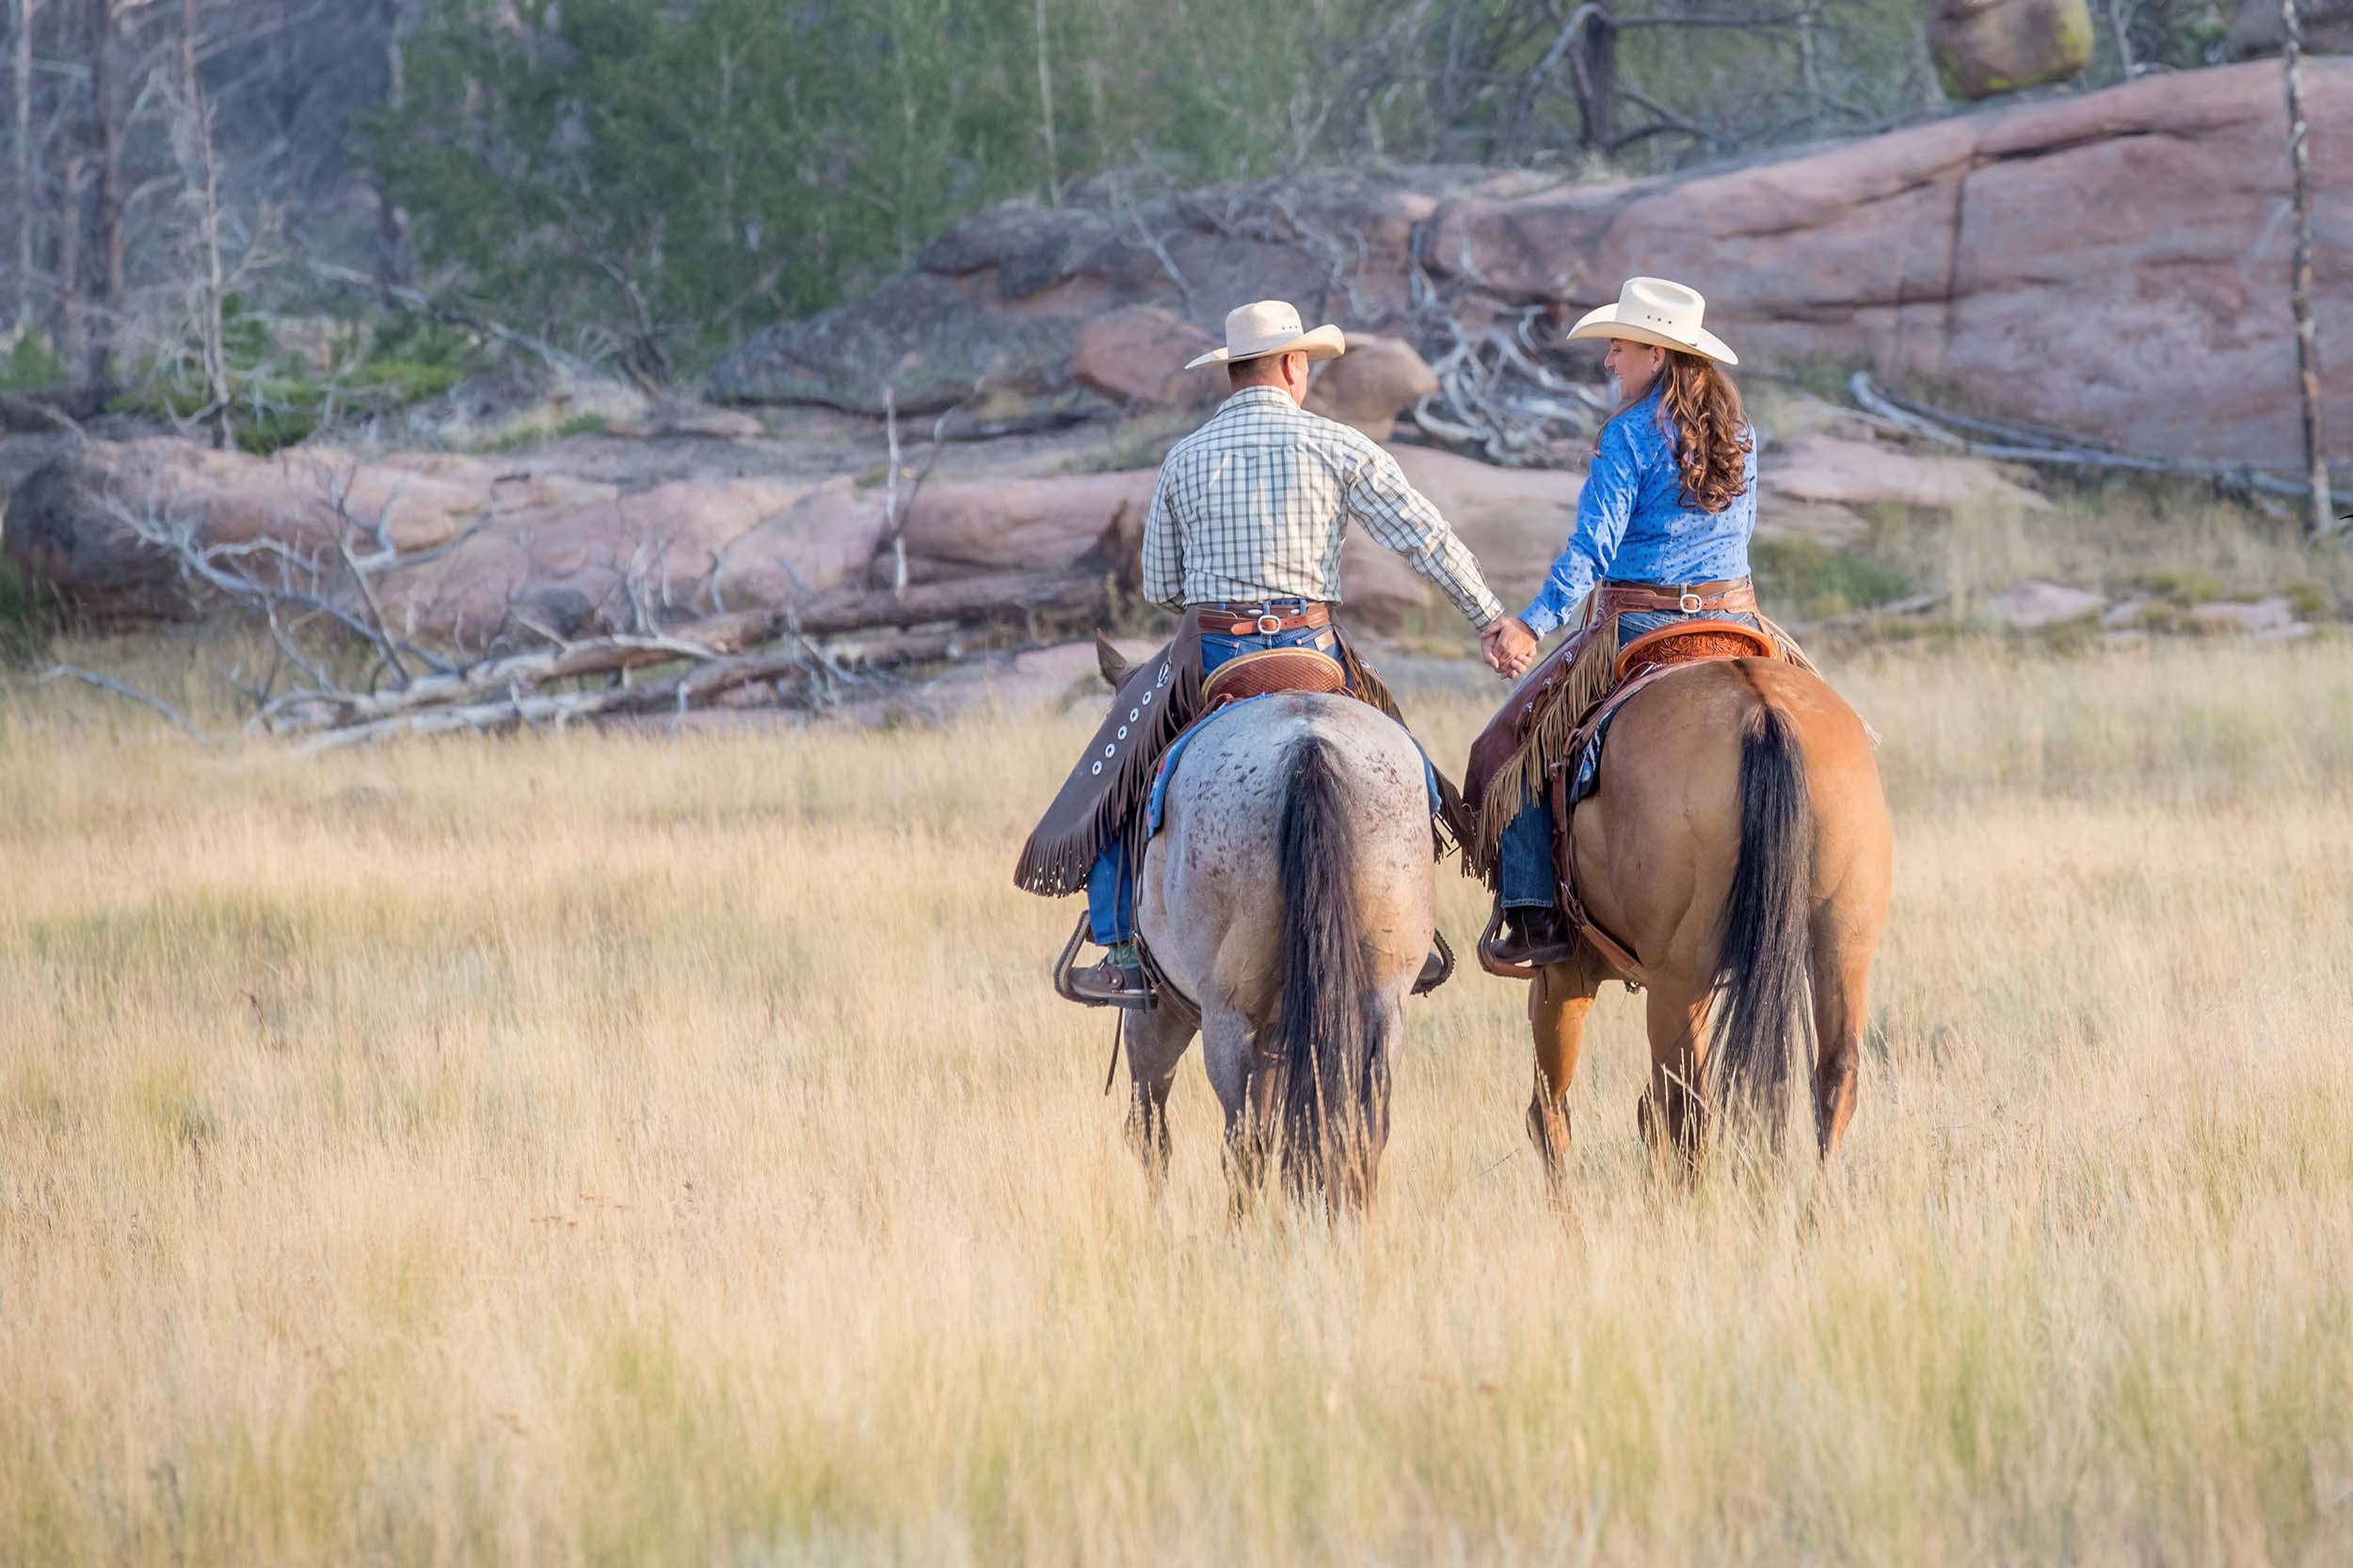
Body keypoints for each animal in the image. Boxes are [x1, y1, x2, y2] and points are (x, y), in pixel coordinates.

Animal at [1092, 645, 1440, 1205]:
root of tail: (1308, 749)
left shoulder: (1156, 1008)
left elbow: (1149, 1125)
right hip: (1384, 1004)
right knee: (1362, 1130)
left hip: (1225, 1015)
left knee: (1240, 1143)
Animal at [1506, 654, 1892, 1176]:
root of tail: (1764, 712)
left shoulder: (1565, 972)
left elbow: (1551, 1111)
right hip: (1842, 947)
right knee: (1835, 1077)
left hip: (1675, 978)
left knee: (1685, 1108)